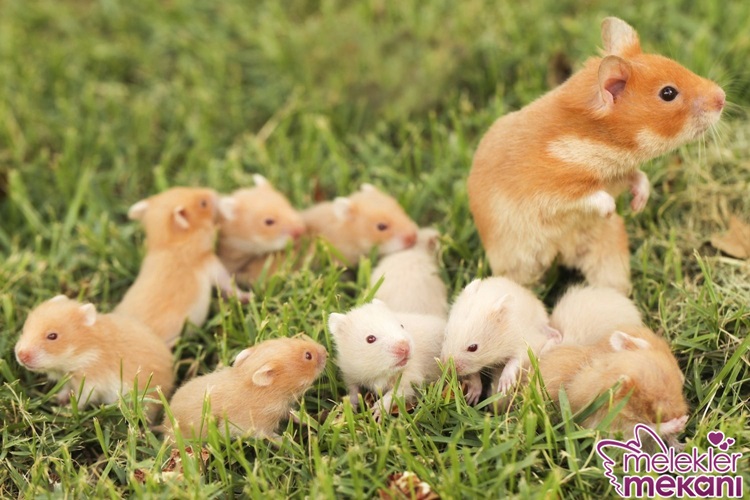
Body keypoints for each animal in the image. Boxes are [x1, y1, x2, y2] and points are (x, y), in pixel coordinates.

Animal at [15, 295, 174, 422]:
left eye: (52, 336)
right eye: (25, 328)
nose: (21, 356)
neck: (83, 351)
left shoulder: (91, 383)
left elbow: (81, 399)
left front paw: (66, 409)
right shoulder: (69, 378)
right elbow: (66, 388)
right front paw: (59, 399)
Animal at [115, 187, 252, 347]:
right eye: (203, 203)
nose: (213, 192)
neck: (170, 245)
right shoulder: (211, 264)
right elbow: (230, 285)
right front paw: (248, 296)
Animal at [164, 336, 327, 440]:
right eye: (308, 356)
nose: (326, 351)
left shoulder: (283, 408)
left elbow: (293, 415)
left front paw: (313, 419)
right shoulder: (260, 427)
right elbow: (274, 438)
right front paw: (289, 445)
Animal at [468, 17, 725, 294]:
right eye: (668, 93)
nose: (722, 96)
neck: (600, 140)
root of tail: (562, 253)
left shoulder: (620, 172)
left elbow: (639, 177)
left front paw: (637, 205)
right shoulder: (551, 190)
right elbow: (588, 195)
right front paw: (611, 209)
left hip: (608, 250)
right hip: (519, 264)